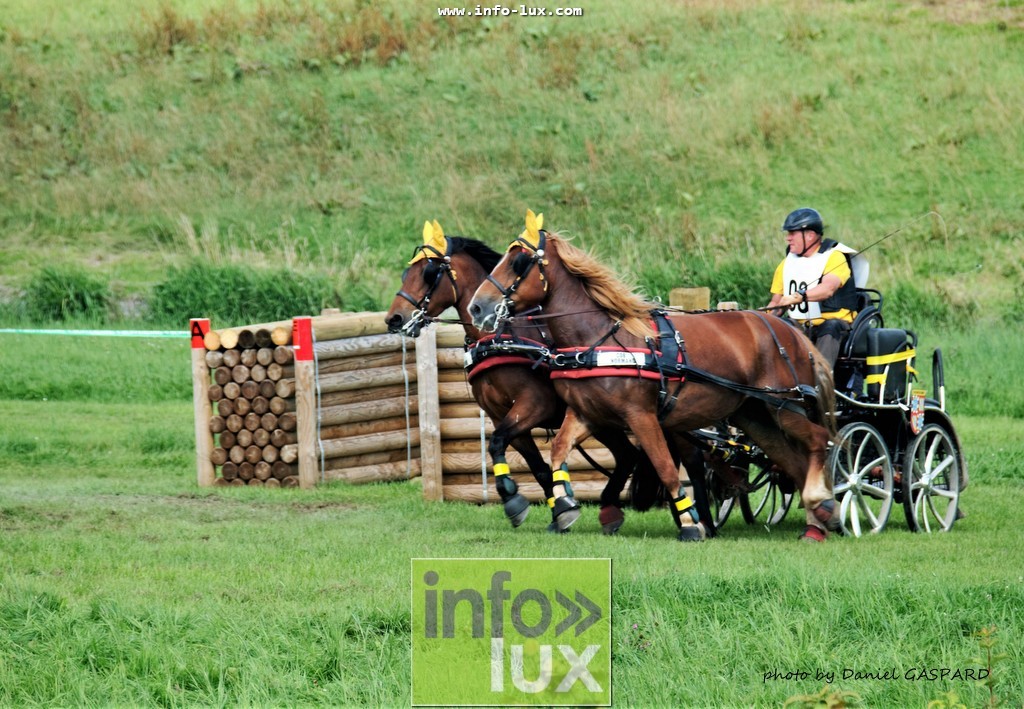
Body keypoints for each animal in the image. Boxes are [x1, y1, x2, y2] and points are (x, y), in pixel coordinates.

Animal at [385, 219, 704, 532]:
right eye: (406, 273)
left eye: (428, 273)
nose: (394, 319)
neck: (501, 337)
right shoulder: (500, 416)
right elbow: (532, 464)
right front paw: (555, 511)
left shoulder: (535, 405)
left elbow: (497, 442)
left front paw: (516, 501)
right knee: (629, 455)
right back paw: (612, 509)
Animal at [468, 213, 835, 540]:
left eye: (518, 262)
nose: (477, 307)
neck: (599, 337)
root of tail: (790, 330)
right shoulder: (587, 413)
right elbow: (558, 450)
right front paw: (564, 506)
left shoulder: (641, 416)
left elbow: (666, 468)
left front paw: (688, 523)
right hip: (755, 414)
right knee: (792, 461)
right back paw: (816, 523)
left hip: (783, 405)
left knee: (819, 441)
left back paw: (820, 504)